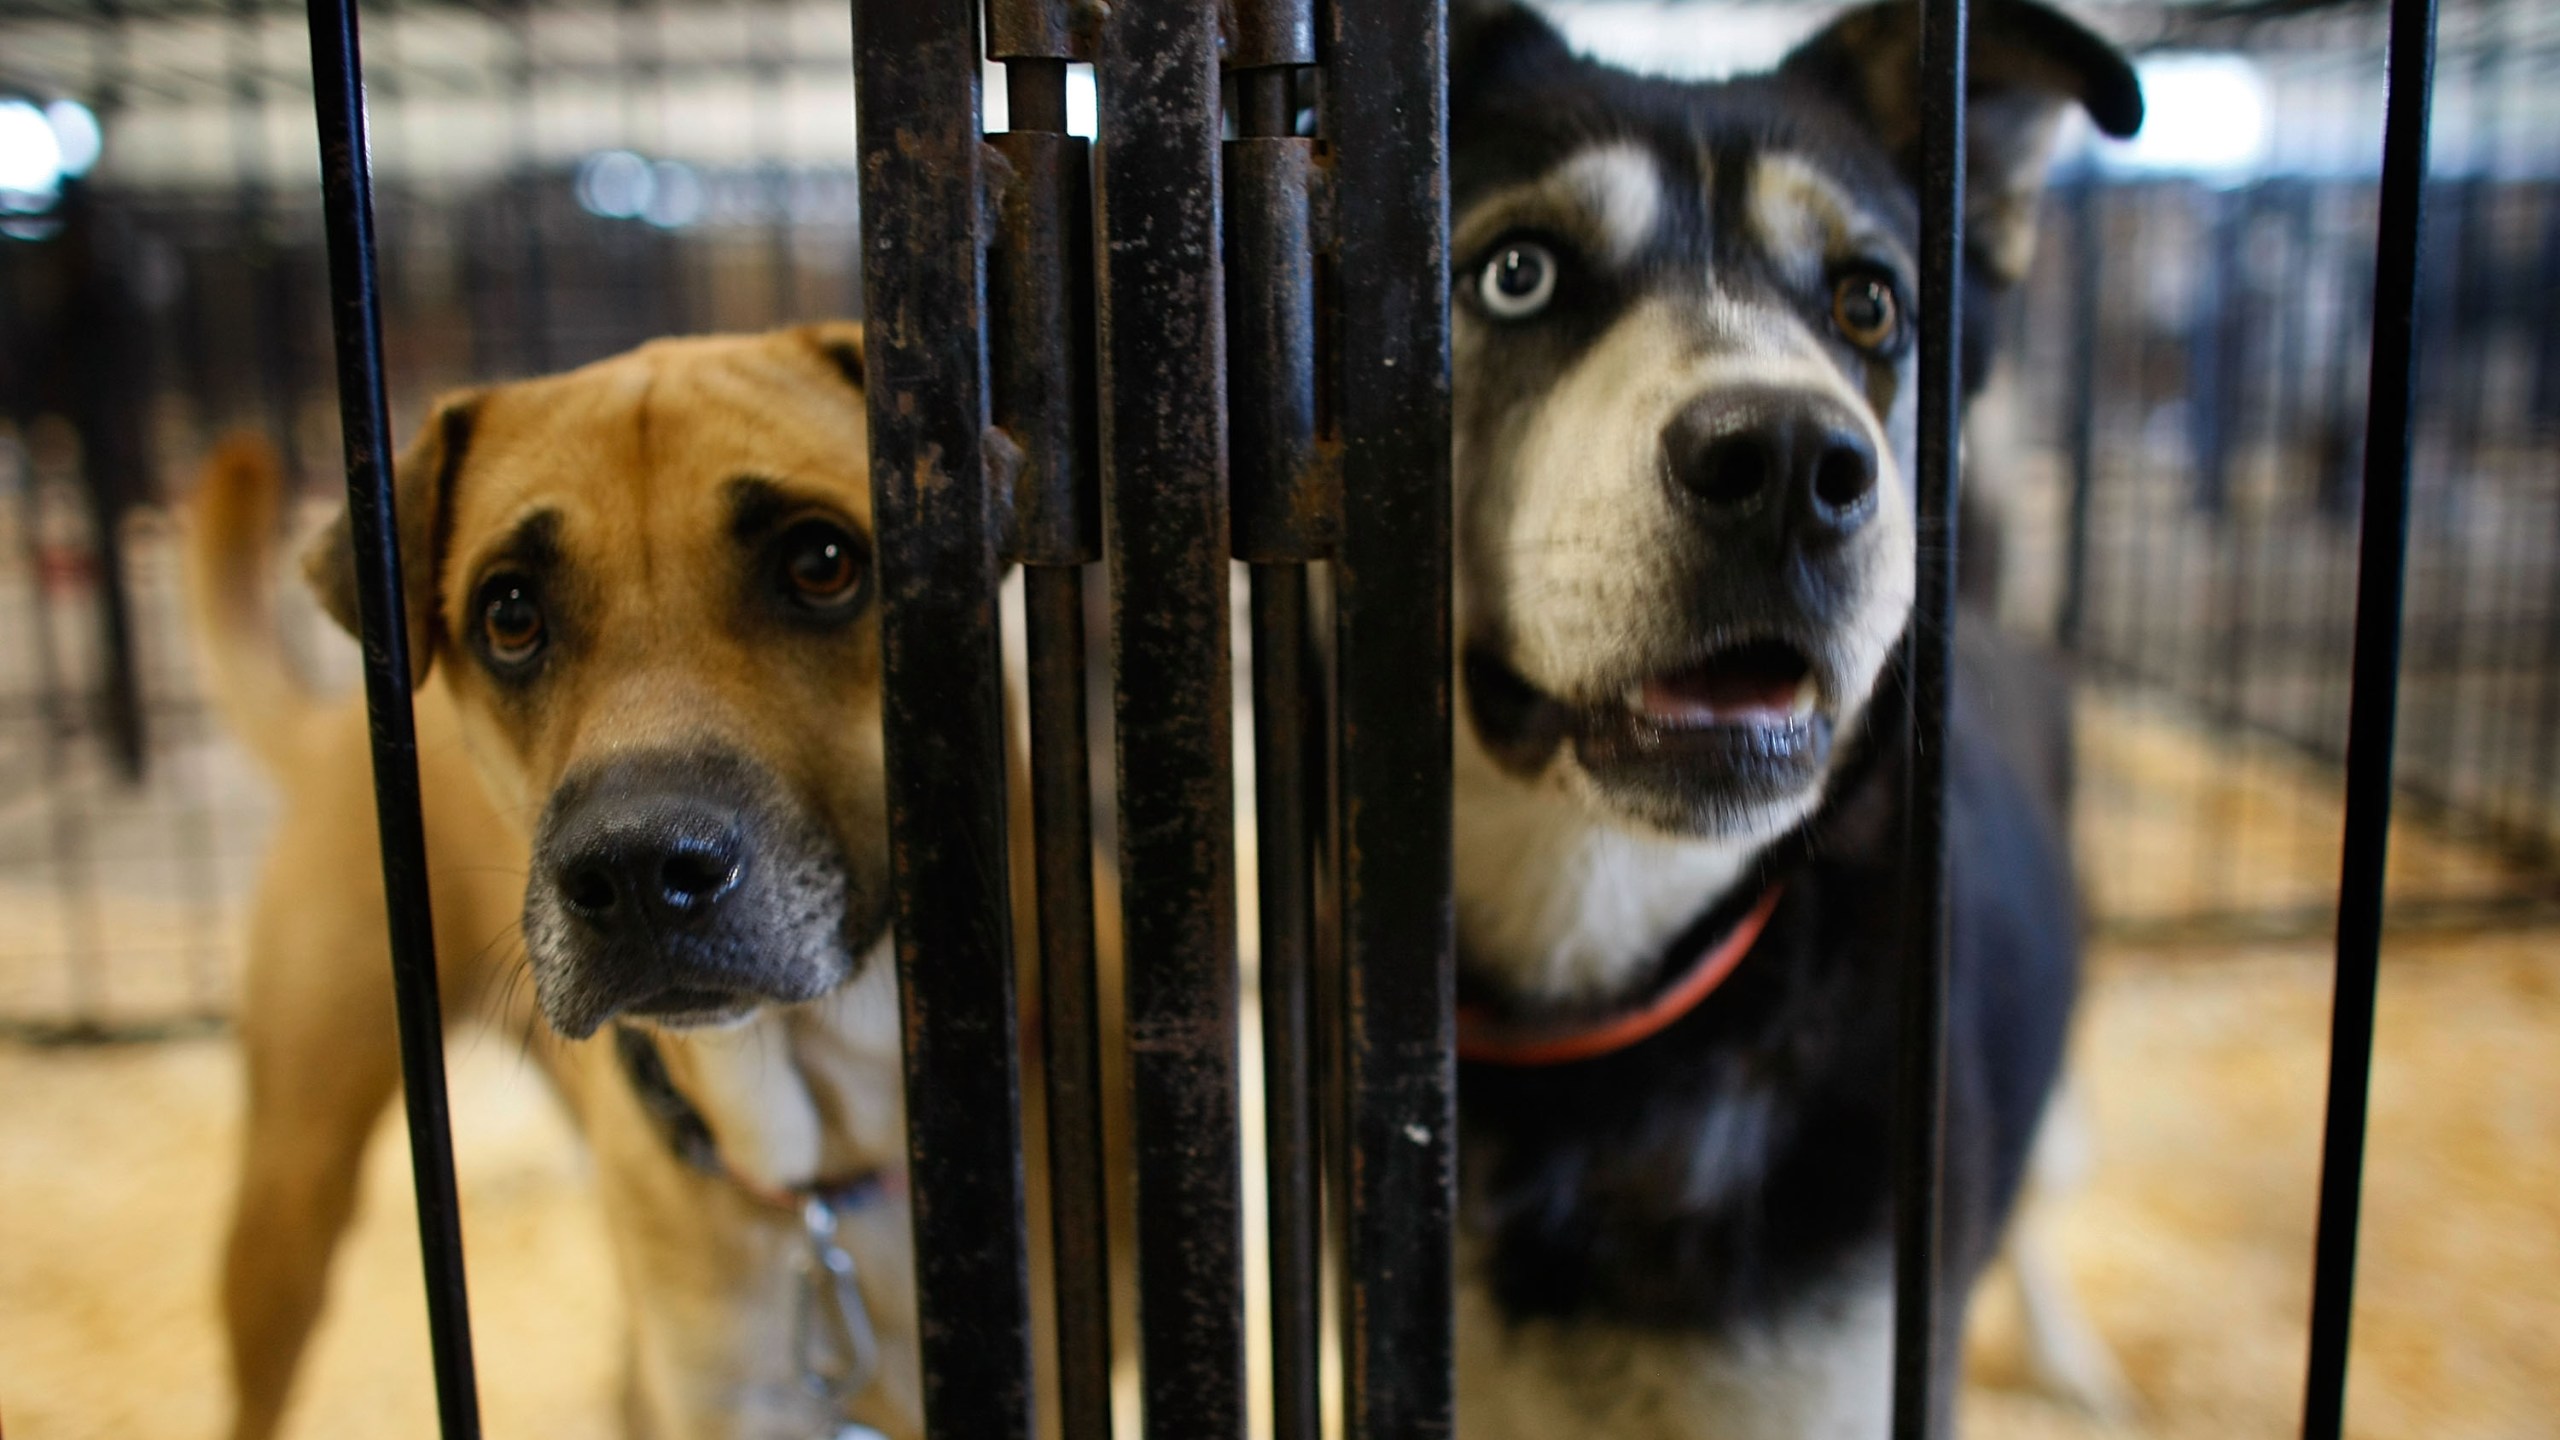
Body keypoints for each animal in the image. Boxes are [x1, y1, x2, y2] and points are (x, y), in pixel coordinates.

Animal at [192, 325, 931, 1434]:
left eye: (820, 563)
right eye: (509, 615)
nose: (635, 872)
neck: (823, 1180)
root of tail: (331, 723)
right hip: (293, 1175)